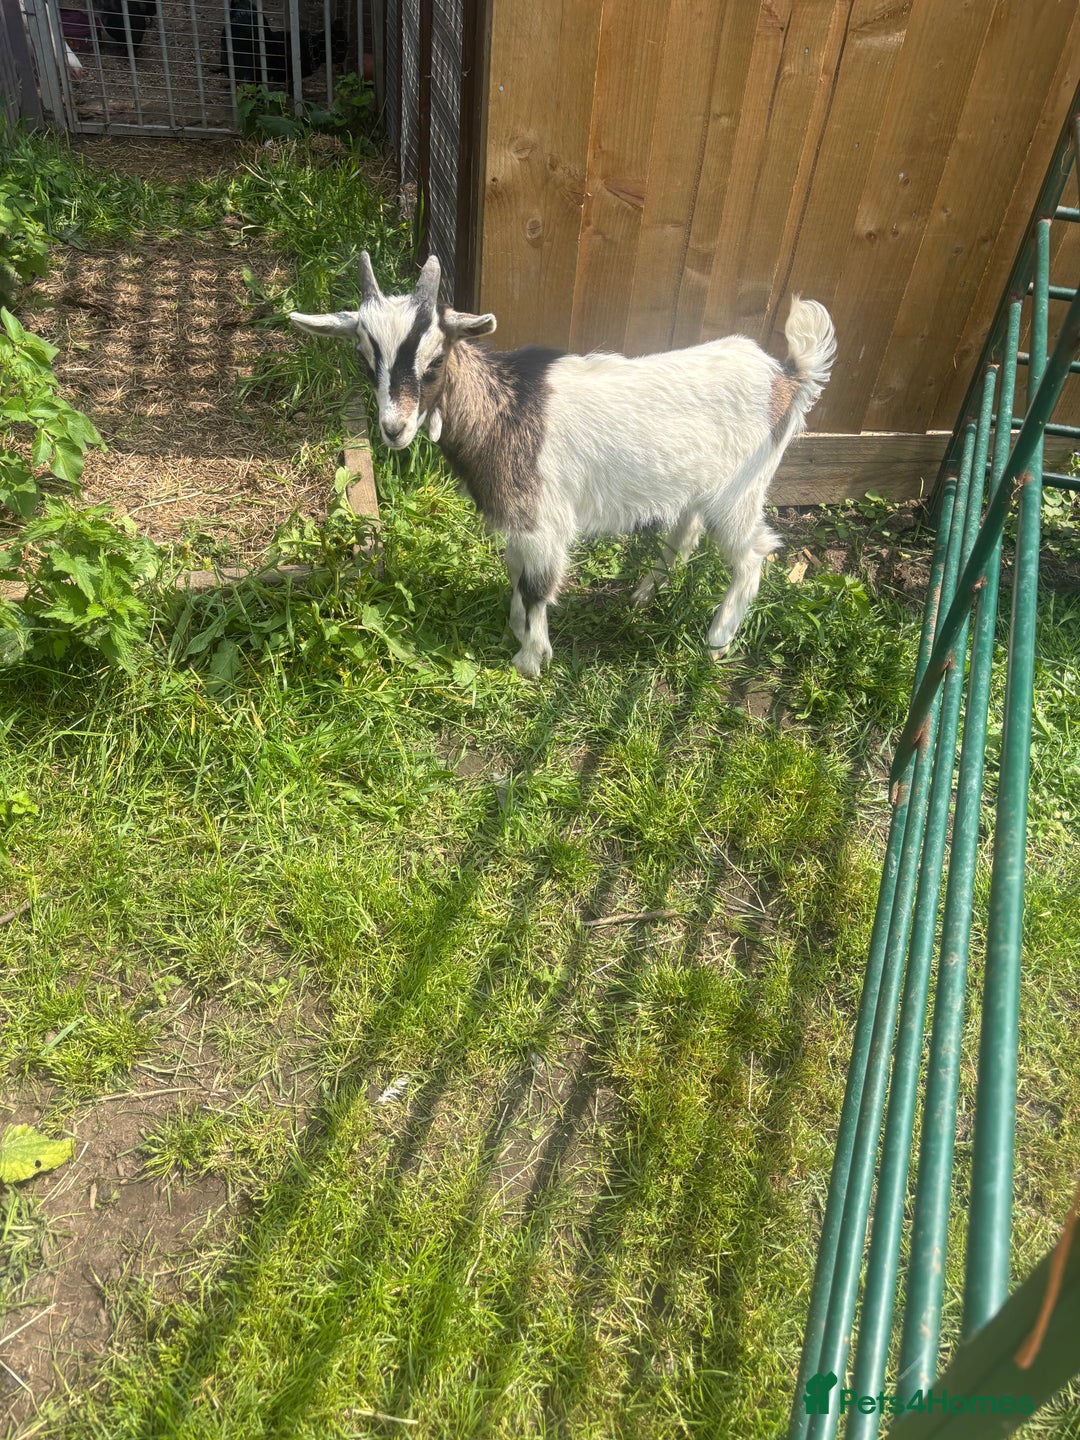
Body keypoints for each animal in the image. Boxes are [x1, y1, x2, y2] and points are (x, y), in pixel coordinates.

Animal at [290, 254, 836, 677]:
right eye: (366, 361)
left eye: (436, 360)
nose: (394, 428)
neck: (505, 407)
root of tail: (788, 377)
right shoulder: (517, 519)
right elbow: (514, 569)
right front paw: (515, 627)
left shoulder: (543, 518)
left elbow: (536, 585)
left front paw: (530, 659)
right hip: (698, 486)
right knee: (685, 534)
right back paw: (644, 594)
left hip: (743, 490)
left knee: (753, 553)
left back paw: (718, 637)